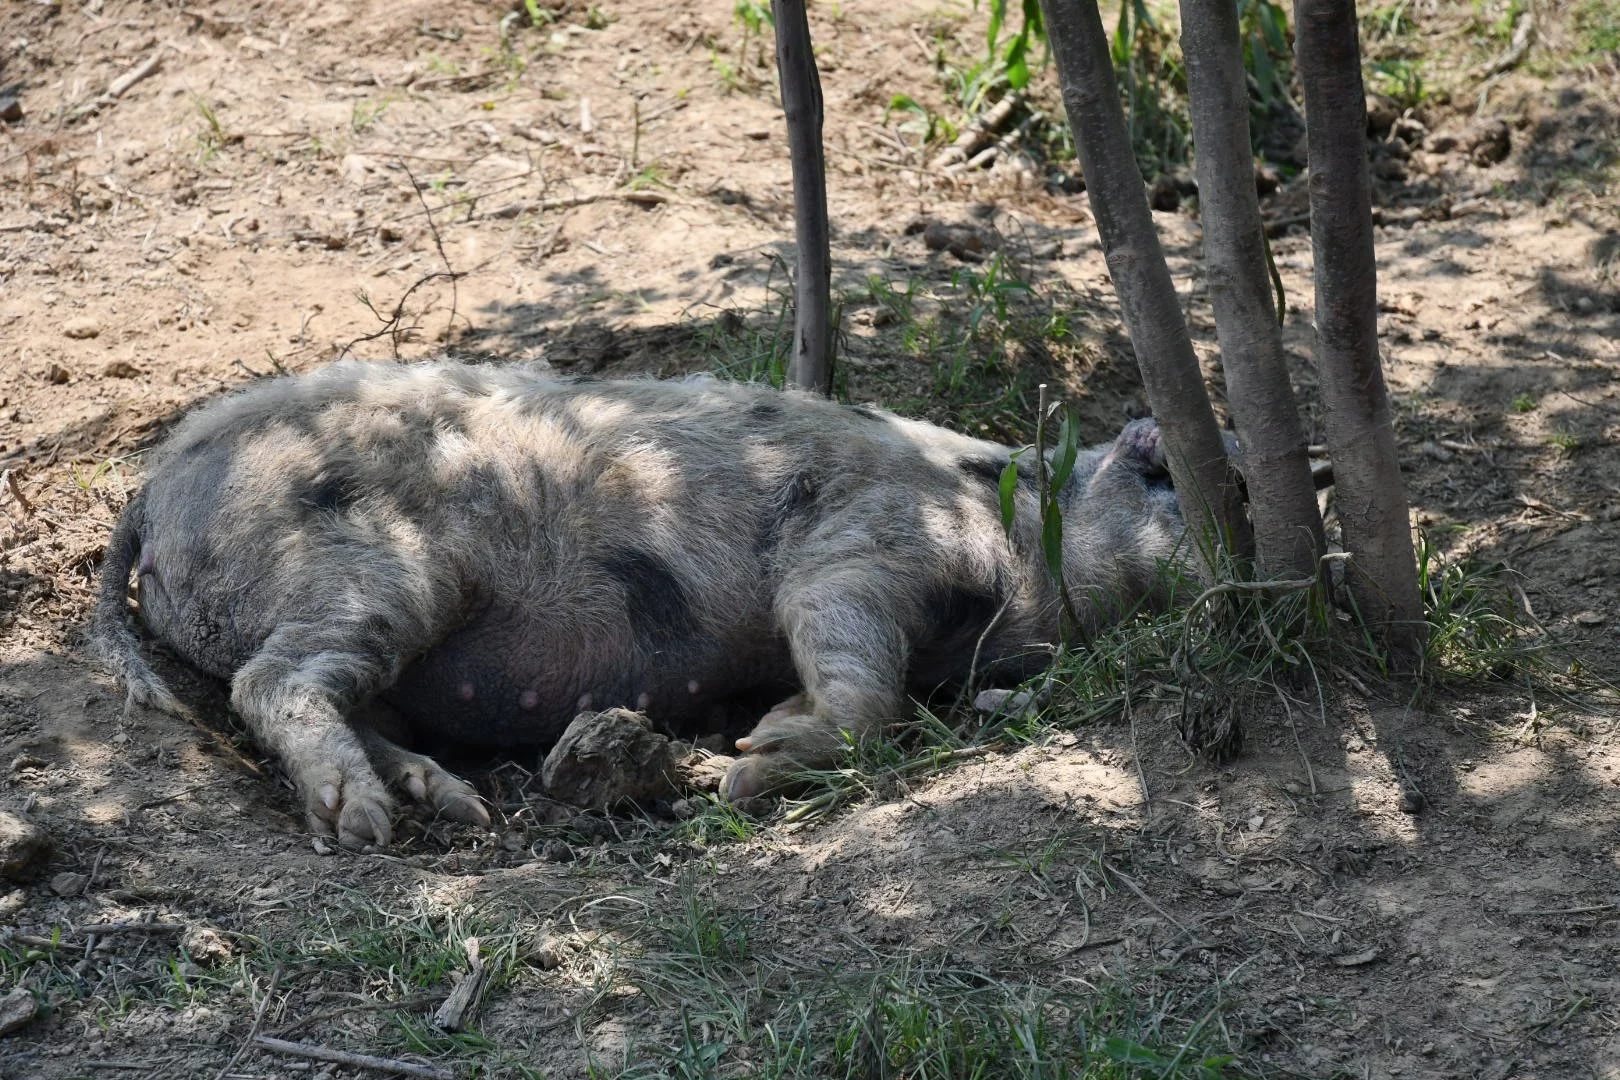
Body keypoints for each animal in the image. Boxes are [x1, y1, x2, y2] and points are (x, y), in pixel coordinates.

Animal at [91, 360, 1198, 848]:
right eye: (1176, 485)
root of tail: (153, 485)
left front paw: (743, 746)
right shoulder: (868, 534)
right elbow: (850, 667)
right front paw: (751, 761)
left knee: (343, 698)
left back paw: (448, 801)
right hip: (366, 566)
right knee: (268, 682)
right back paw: (363, 821)